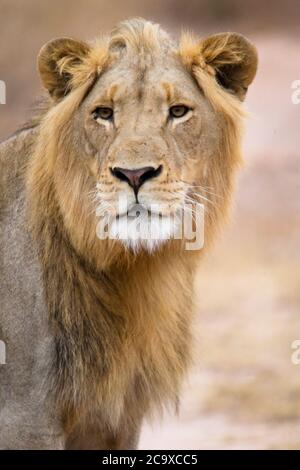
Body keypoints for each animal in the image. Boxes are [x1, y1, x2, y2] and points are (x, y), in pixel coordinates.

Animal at [0, 18, 258, 450]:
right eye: (103, 113)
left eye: (178, 111)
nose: (134, 174)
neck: (130, 270)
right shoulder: (25, 418)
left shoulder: (114, 421)